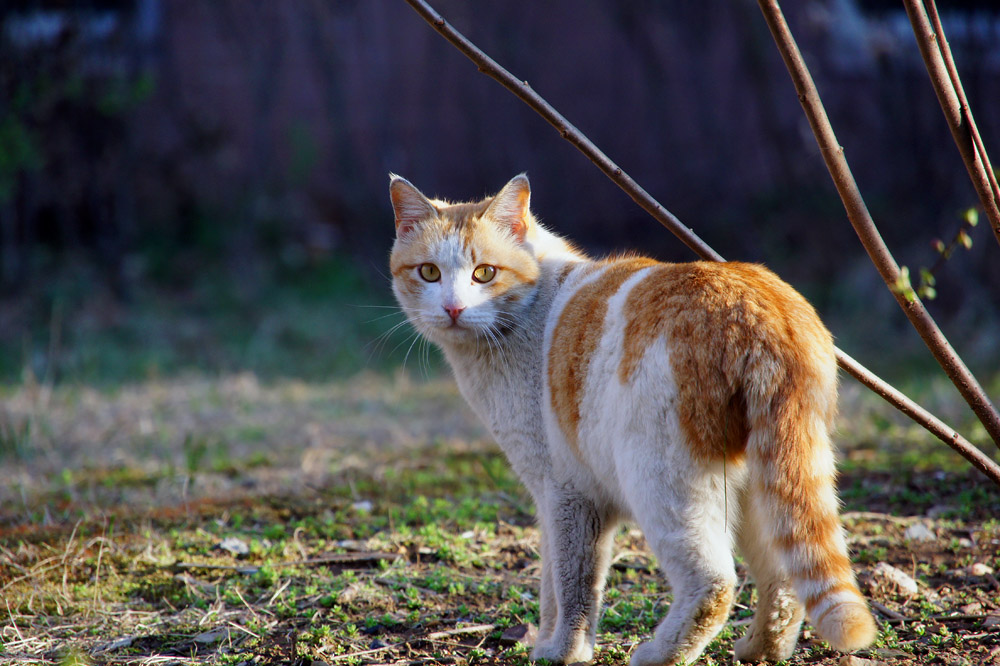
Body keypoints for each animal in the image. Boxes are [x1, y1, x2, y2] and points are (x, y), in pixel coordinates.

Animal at [386, 175, 872, 664]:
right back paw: (759, 649)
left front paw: (563, 651)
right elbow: (553, 583)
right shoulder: (558, 500)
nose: (453, 309)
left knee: (715, 583)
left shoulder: (565, 492)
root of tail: (759, 308)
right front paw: (550, 644)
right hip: (762, 485)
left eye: (484, 273)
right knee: (785, 581)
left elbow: (572, 584)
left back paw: (658, 653)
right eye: (429, 273)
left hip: (664, 482)